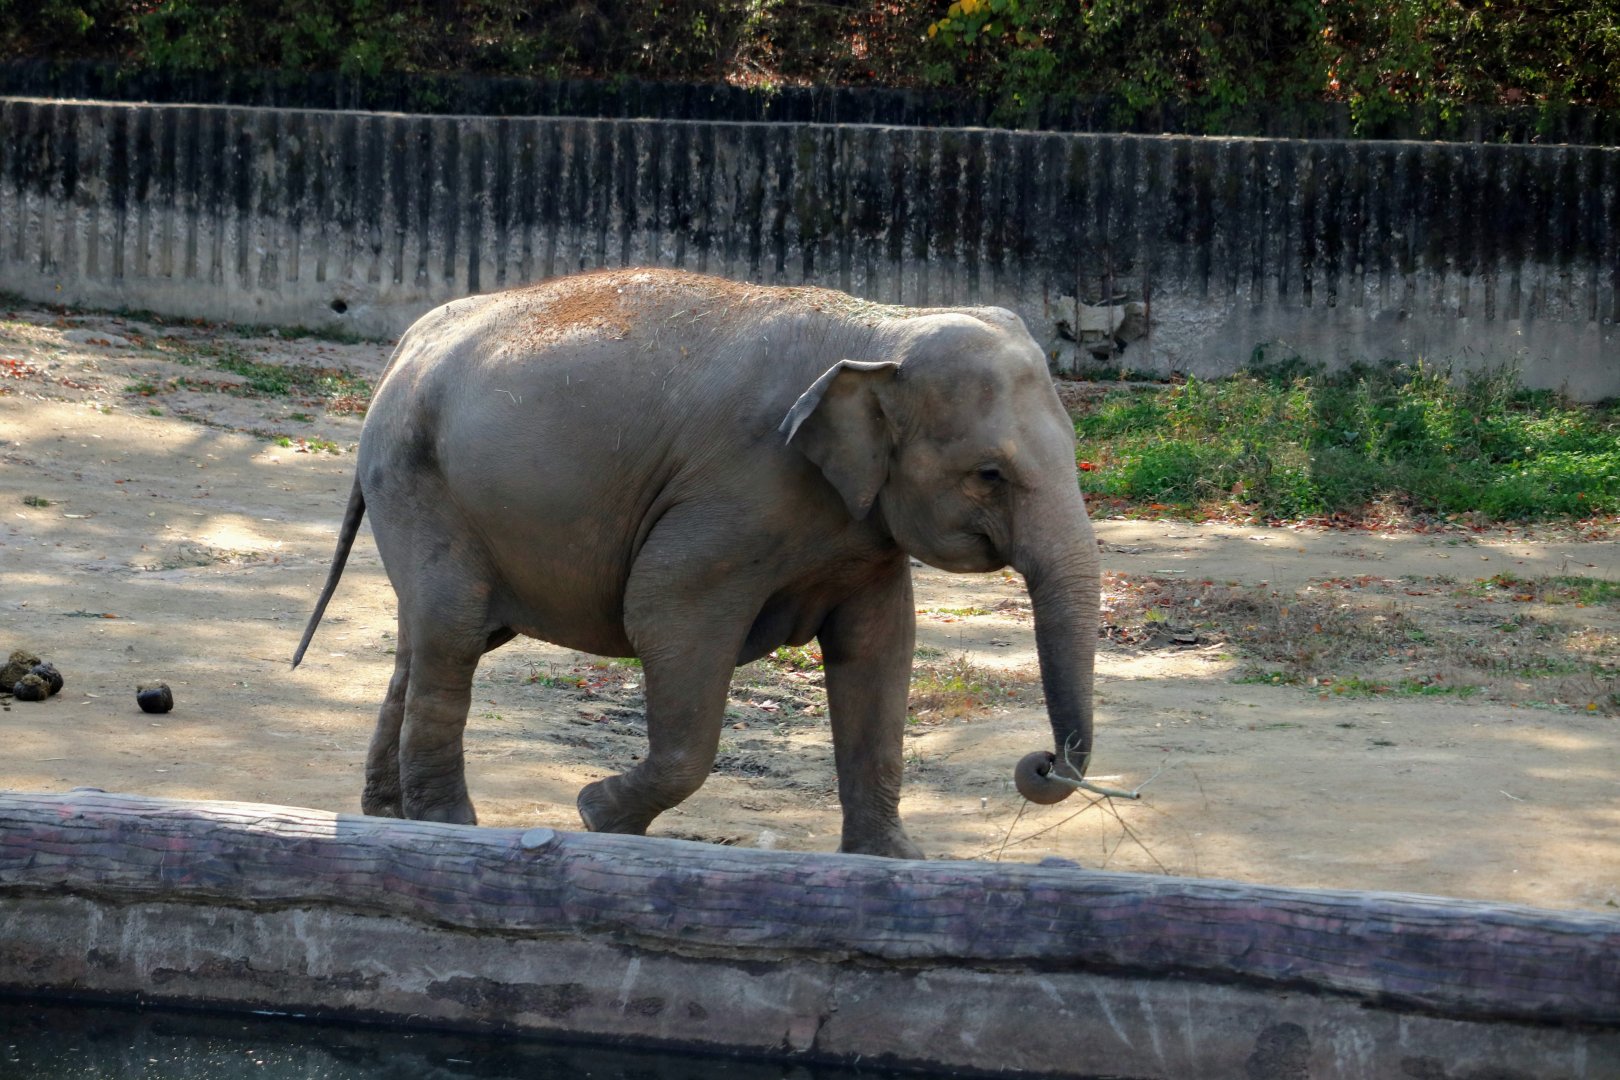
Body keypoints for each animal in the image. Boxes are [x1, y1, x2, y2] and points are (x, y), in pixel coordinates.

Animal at [292, 268, 1100, 858]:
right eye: (990, 475)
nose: (1040, 763)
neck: (882, 326)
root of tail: (406, 342)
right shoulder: (733, 493)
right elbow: (666, 614)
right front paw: (595, 815)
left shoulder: (862, 528)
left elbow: (878, 650)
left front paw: (894, 864)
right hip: (419, 482)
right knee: (453, 636)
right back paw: (448, 829)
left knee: (428, 643)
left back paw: (389, 817)